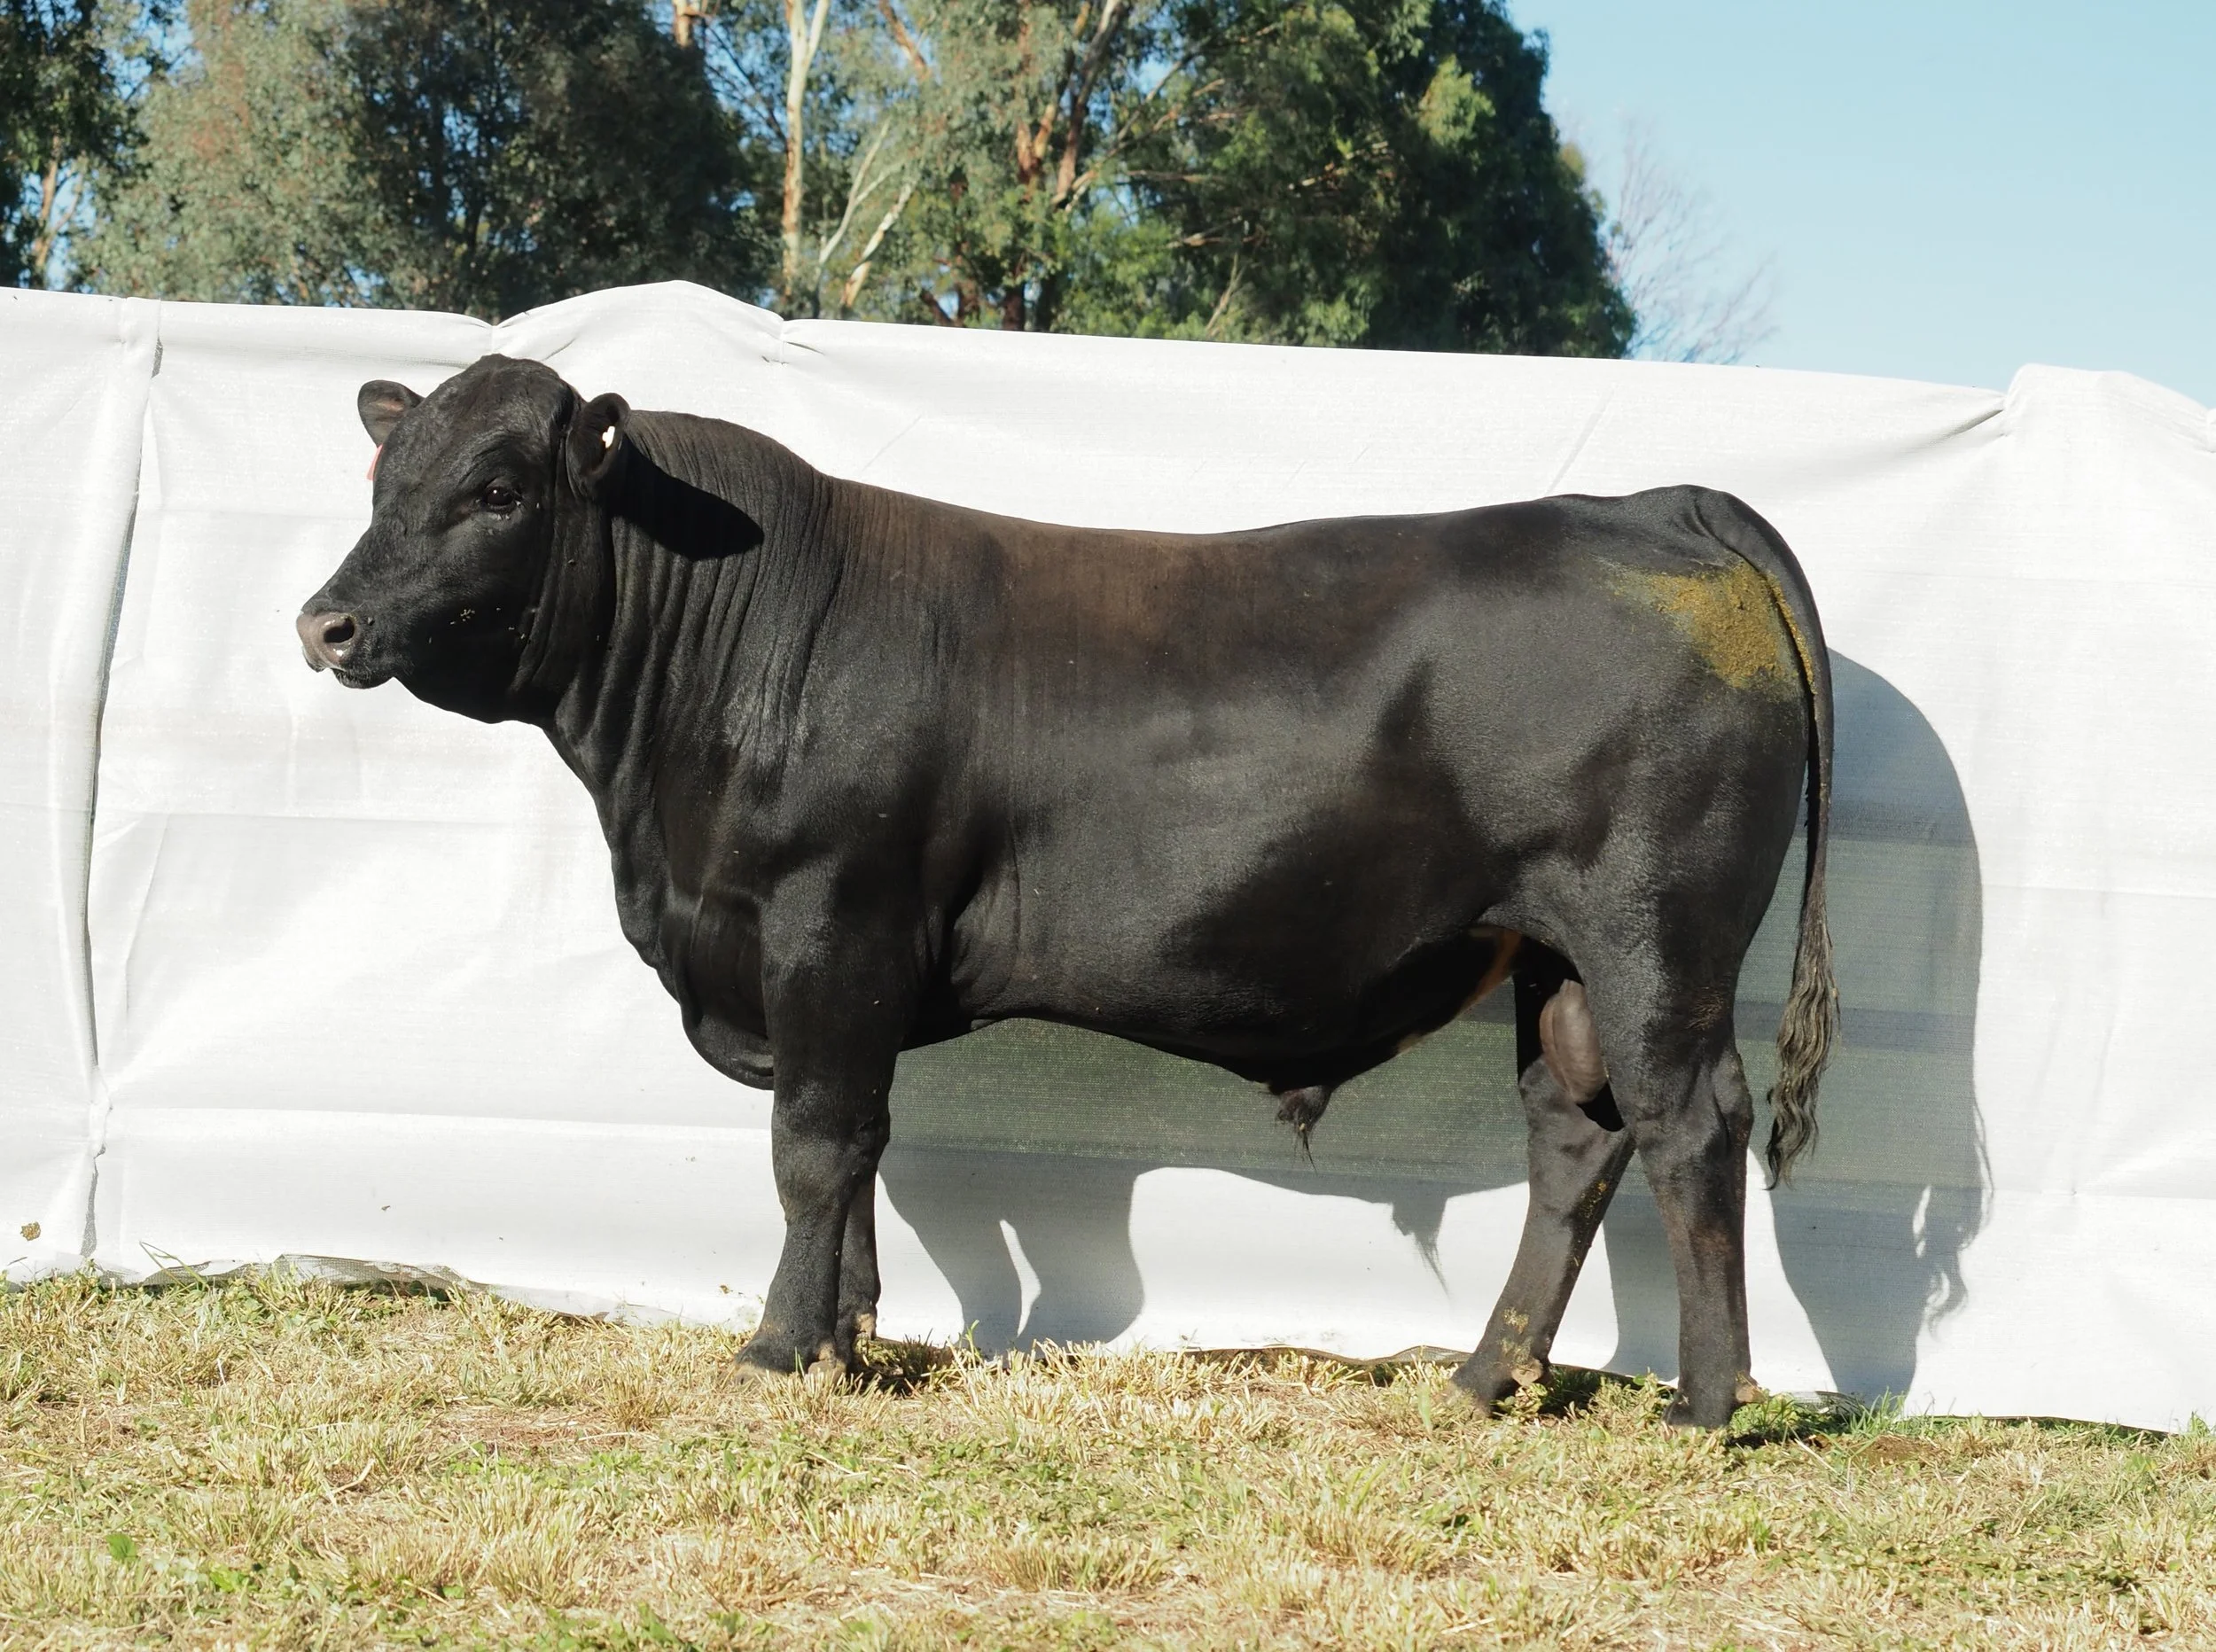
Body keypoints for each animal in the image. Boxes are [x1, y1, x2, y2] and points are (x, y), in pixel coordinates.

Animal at [298, 354, 1836, 1428]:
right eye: (380, 484)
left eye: (498, 492)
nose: (328, 623)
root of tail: (1656, 506)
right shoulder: (840, 972)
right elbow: (863, 1150)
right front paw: (852, 1342)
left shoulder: (828, 924)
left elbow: (812, 1145)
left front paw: (783, 1350)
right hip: (1554, 954)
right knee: (1577, 1135)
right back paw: (1480, 1382)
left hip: (1654, 937)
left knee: (1690, 1125)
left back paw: (1706, 1405)